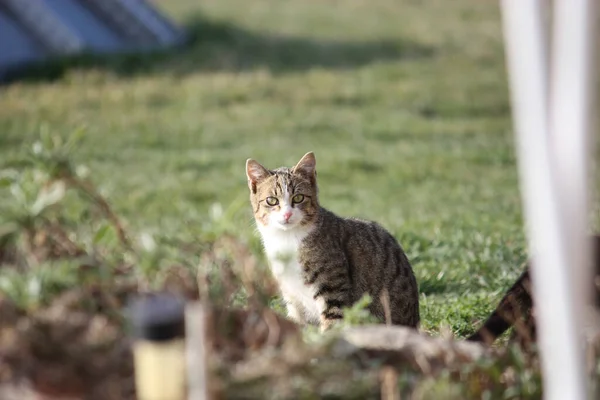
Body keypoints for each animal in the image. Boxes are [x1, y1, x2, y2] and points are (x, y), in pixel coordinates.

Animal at [246, 152, 420, 330]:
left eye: (299, 197)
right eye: (271, 200)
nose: (287, 214)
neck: (287, 239)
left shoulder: (333, 288)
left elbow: (332, 324)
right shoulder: (291, 295)